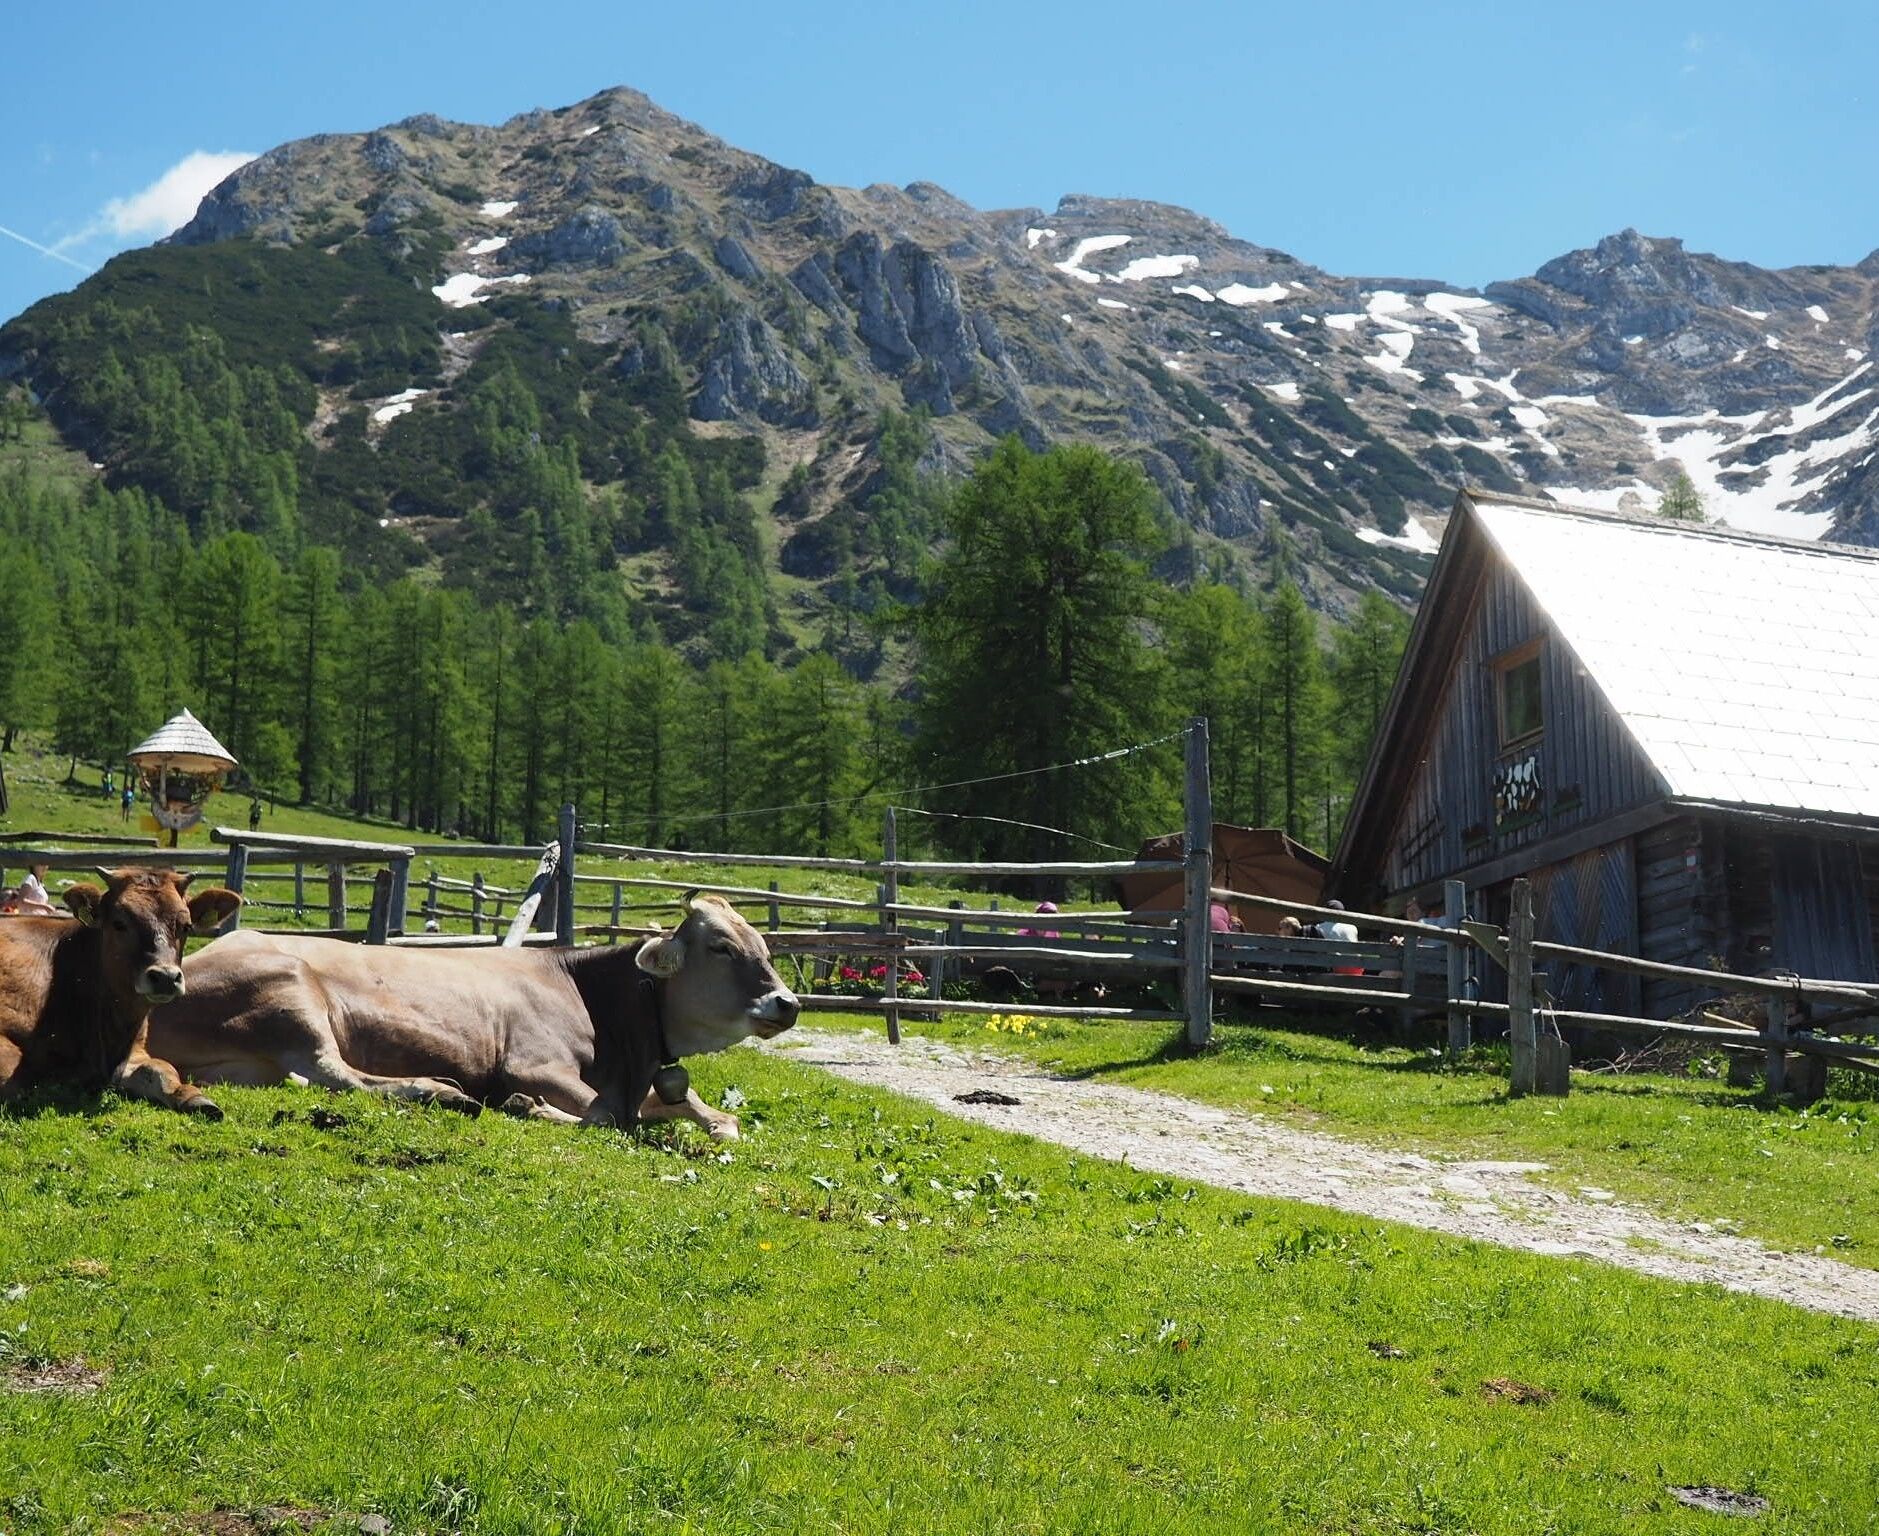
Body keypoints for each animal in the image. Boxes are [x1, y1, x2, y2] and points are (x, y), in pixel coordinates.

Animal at [0, 869, 243, 1116]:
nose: (165, 977)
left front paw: (194, 1096)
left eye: (185, 926)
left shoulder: (133, 1050)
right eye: (119, 923)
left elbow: (161, 1068)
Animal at [148, 893, 799, 1140]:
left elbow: (714, 1117)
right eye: (720, 946)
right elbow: (604, 1114)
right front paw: (528, 1107)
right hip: (291, 992)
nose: (788, 1003)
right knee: (337, 1074)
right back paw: (439, 1091)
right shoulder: (534, 1063)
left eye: (764, 946)